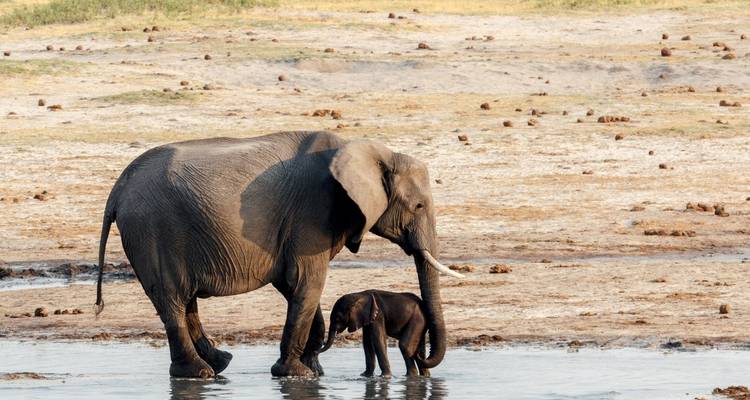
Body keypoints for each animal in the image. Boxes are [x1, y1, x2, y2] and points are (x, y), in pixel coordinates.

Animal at [94, 131, 463, 378]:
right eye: (419, 206)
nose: (423, 359)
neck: (368, 150)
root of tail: (117, 189)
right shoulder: (312, 213)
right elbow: (306, 283)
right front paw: (295, 374)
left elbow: (294, 287)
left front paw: (314, 371)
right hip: (152, 230)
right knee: (172, 300)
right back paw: (199, 374)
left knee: (185, 303)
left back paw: (220, 363)